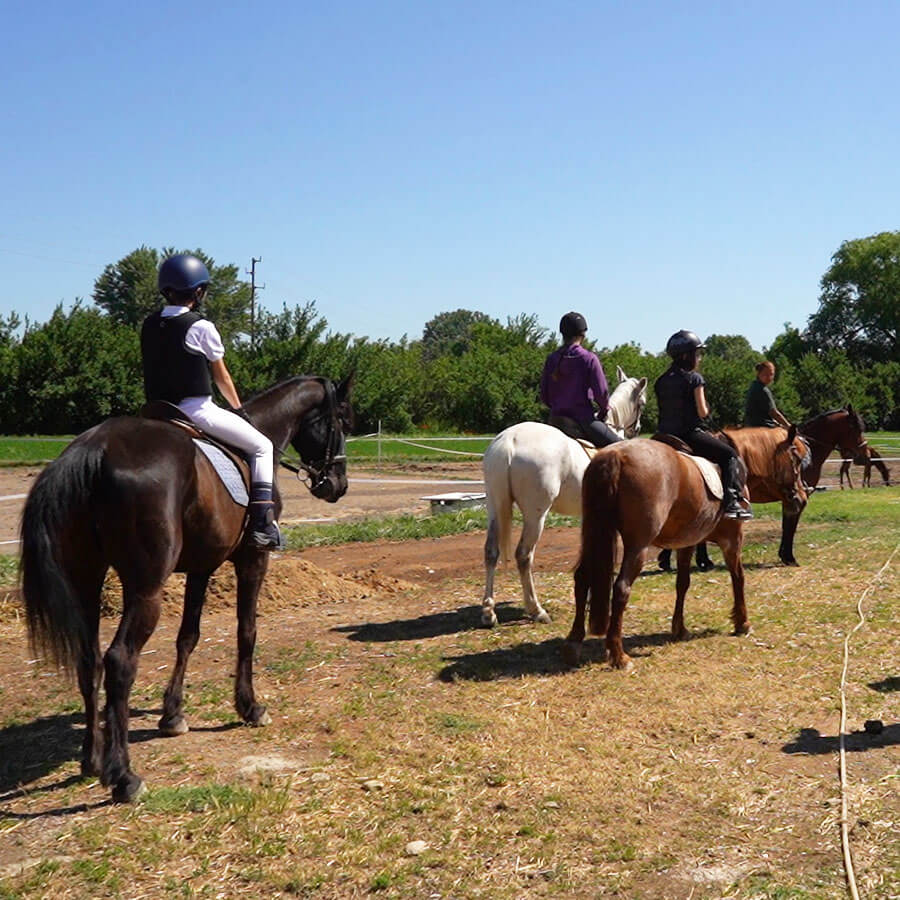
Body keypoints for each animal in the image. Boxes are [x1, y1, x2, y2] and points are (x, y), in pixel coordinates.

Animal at [20, 372, 352, 800]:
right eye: (341, 420)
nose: (338, 485)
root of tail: (93, 449)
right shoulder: (252, 560)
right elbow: (247, 632)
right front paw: (249, 707)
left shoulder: (200, 568)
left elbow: (188, 637)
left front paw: (172, 714)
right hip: (145, 589)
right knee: (119, 661)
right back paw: (123, 776)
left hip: (86, 582)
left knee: (88, 660)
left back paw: (92, 759)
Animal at [482, 366, 644, 624]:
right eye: (642, 403)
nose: (636, 429)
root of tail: (510, 440)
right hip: (536, 515)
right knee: (523, 555)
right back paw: (536, 610)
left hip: (494, 508)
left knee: (491, 552)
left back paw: (489, 612)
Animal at [564, 432, 808, 672]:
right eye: (796, 460)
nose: (801, 498)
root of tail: (615, 455)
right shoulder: (733, 539)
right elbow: (738, 578)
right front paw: (742, 623)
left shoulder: (687, 543)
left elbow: (682, 583)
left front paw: (679, 629)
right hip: (638, 546)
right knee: (621, 588)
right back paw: (619, 656)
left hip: (594, 533)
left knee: (582, 578)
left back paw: (574, 644)